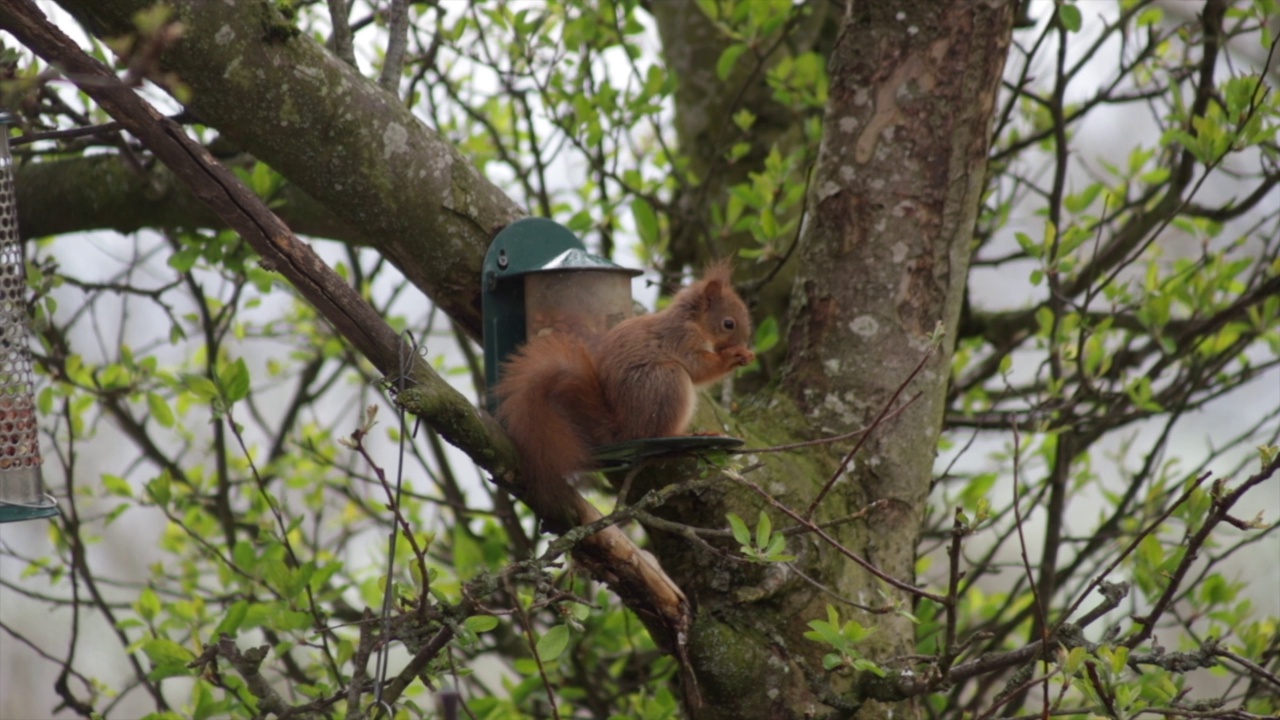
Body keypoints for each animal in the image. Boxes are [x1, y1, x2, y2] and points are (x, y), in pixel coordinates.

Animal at [488, 260, 747, 530]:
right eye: (729, 323)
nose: (745, 343)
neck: (692, 321)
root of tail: (623, 428)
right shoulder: (681, 339)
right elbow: (699, 368)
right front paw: (733, 356)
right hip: (667, 382)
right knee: (657, 430)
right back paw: (688, 434)